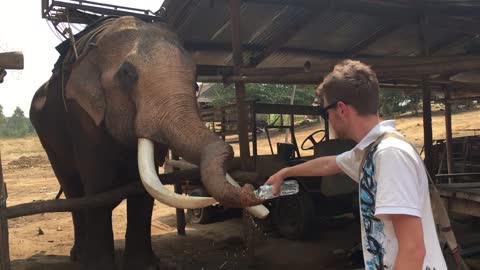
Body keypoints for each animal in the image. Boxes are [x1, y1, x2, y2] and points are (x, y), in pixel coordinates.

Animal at [29, 16, 262, 270]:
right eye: (127, 73)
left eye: (195, 79)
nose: (250, 189)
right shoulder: (81, 118)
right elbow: (98, 187)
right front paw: (100, 265)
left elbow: (143, 187)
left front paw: (145, 265)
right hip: (48, 138)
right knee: (73, 189)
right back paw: (79, 255)